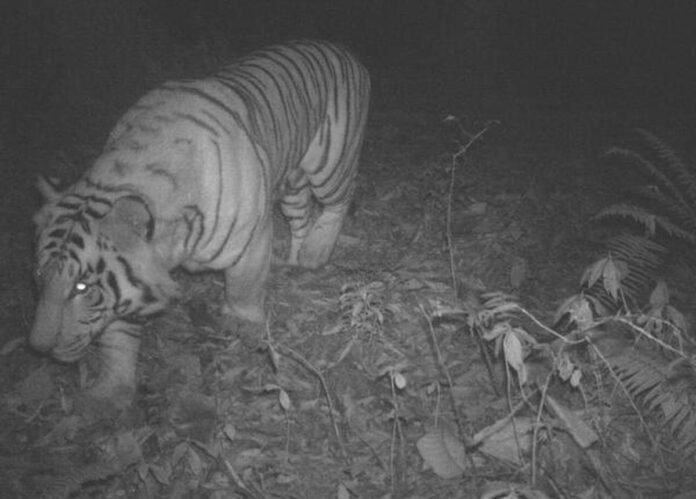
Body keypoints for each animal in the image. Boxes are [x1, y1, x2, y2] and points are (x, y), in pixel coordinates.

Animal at [29, 40, 370, 409]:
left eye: (81, 287)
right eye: (39, 276)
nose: (38, 348)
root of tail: (342, 49)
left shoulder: (249, 241)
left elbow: (243, 290)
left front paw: (246, 330)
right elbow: (117, 339)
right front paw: (110, 392)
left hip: (330, 163)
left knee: (340, 199)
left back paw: (315, 252)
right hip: (293, 183)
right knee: (302, 215)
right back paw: (294, 260)